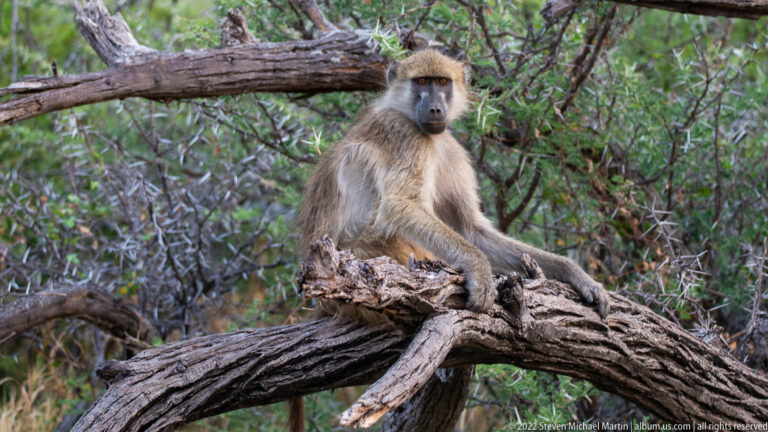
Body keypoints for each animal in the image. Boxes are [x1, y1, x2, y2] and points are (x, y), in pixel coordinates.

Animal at [289, 49, 610, 432]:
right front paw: (479, 272)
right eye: (422, 82)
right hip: (360, 263)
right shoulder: (406, 136)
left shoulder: (449, 147)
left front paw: (576, 275)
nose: (435, 109)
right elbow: (400, 206)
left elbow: (472, 231)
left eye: (442, 82)